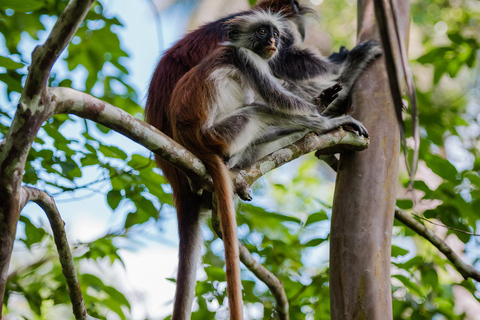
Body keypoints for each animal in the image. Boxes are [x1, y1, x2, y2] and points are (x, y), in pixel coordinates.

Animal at [165, 10, 368, 320]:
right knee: (259, 109)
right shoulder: (248, 59)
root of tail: (194, 145)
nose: (273, 42)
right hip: (221, 136)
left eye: (274, 33)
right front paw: (335, 112)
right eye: (262, 32)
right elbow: (278, 99)